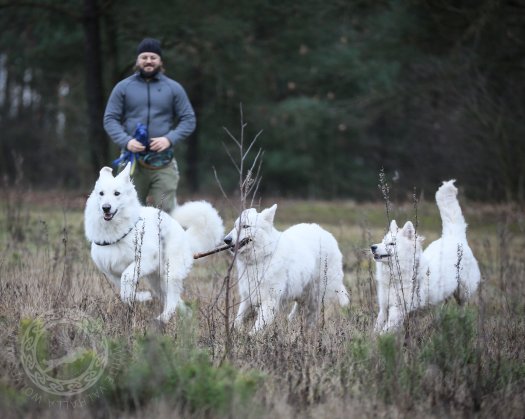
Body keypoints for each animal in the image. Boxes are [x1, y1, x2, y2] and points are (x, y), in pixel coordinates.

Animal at [85, 162, 224, 324]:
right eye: (101, 193)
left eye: (116, 193)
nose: (105, 208)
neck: (117, 232)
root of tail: (185, 236)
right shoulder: (110, 271)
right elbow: (124, 291)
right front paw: (140, 297)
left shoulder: (144, 260)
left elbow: (126, 277)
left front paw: (140, 296)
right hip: (157, 280)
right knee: (174, 300)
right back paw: (186, 317)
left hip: (169, 274)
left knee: (172, 299)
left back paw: (163, 319)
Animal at [221, 203, 348, 334]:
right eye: (235, 226)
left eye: (245, 226)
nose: (226, 240)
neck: (263, 256)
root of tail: (326, 233)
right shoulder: (248, 298)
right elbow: (238, 319)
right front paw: (233, 332)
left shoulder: (269, 300)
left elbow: (257, 326)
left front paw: (249, 336)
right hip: (303, 291)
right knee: (299, 309)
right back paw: (292, 322)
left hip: (315, 295)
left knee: (311, 315)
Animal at [368, 179, 478, 334]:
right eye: (383, 241)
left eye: (392, 243)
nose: (372, 247)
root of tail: (455, 237)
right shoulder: (384, 307)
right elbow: (378, 325)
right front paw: (371, 338)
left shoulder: (398, 310)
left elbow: (386, 330)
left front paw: (380, 339)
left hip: (462, 292)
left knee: (463, 307)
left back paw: (462, 324)